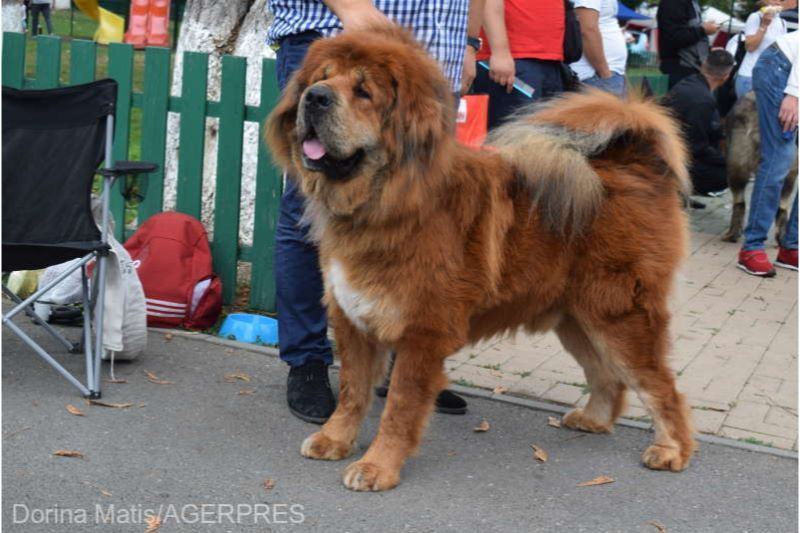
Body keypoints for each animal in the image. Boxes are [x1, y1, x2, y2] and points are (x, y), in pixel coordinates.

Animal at [268, 25, 692, 490]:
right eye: (318, 80)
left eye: (363, 91)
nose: (315, 98)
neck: (389, 202)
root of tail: (635, 163)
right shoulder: (352, 320)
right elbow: (352, 392)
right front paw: (334, 440)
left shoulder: (421, 333)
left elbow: (399, 408)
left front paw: (377, 466)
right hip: (576, 319)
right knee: (607, 377)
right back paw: (594, 419)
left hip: (618, 317)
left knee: (660, 386)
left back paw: (672, 450)